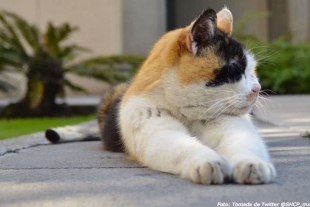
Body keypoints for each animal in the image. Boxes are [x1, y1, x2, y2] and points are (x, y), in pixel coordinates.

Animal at [98, 7, 274, 184]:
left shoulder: (234, 127)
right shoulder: (158, 131)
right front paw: (208, 162)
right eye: (234, 68)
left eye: (252, 71)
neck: (188, 115)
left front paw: (253, 164)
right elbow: (184, 147)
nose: (257, 88)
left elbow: (245, 144)